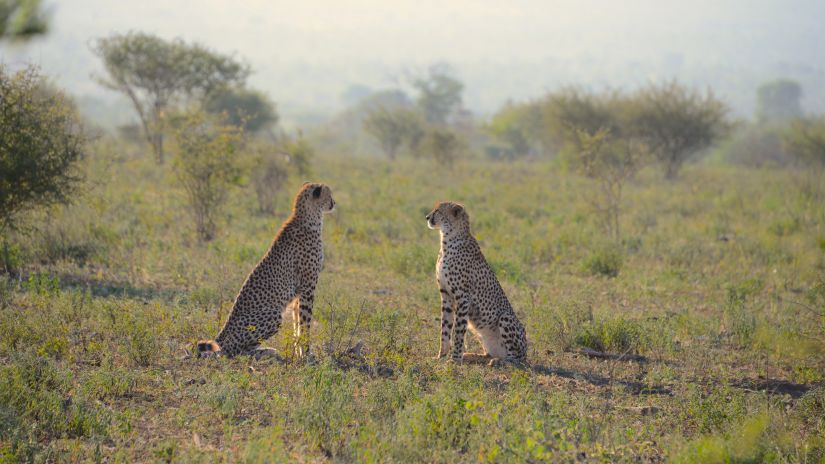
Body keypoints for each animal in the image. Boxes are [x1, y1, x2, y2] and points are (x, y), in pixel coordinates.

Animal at [195, 181, 334, 358]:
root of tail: (222, 332)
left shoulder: (299, 293)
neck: (310, 218)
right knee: (229, 351)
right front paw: (307, 354)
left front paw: (299, 353)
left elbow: (297, 323)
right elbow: (304, 323)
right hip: (273, 315)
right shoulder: (307, 286)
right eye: (329, 195)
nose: (334, 203)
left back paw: (266, 351)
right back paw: (264, 352)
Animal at [424, 201, 528, 364]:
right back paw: (471, 355)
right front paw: (441, 356)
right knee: (489, 354)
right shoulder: (446, 295)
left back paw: (500, 362)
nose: (427, 217)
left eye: (438, 211)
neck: (448, 239)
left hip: (506, 318)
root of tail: (527, 351)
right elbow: (445, 329)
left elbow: (458, 331)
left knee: (516, 358)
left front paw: (454, 359)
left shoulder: (463, 298)